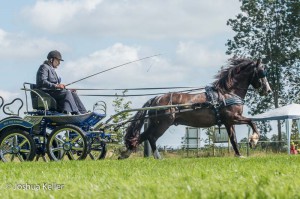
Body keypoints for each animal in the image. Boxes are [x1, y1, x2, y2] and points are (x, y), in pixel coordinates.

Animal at [119, 57, 272, 159]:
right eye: (262, 73)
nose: (268, 90)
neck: (228, 93)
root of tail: (155, 99)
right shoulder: (234, 118)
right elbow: (251, 121)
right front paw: (253, 140)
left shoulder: (229, 122)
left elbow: (233, 139)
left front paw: (239, 155)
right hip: (162, 124)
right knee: (150, 137)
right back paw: (155, 156)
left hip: (156, 123)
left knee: (143, 137)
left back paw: (126, 154)